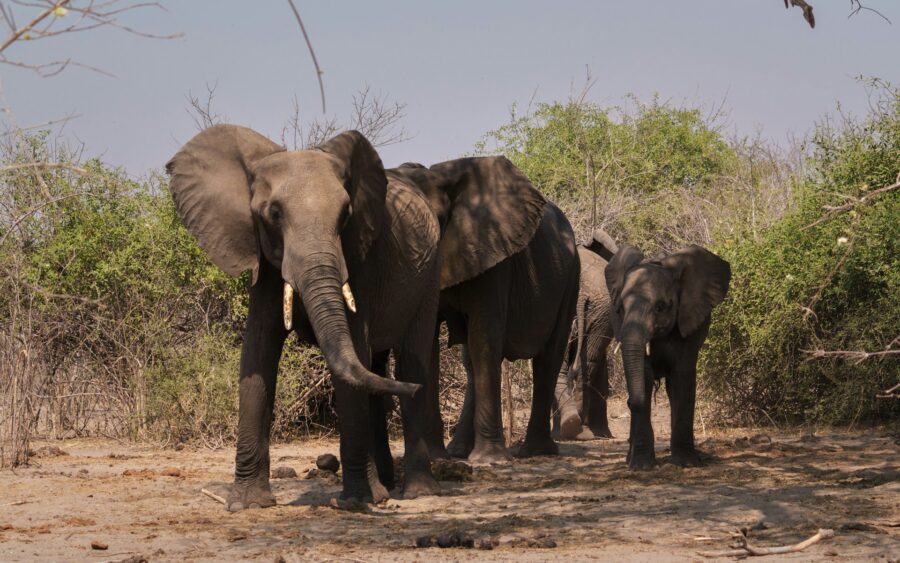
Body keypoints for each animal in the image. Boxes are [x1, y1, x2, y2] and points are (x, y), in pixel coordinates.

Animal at [166, 125, 443, 507]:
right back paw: (387, 487)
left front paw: (357, 503)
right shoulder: (264, 262)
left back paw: (416, 491)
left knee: (409, 361)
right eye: (273, 214)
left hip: (429, 273)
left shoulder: (360, 260)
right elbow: (257, 353)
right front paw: (248, 503)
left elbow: (353, 352)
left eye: (345, 215)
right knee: (376, 367)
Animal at [390, 160, 581, 463]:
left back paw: (534, 451)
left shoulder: (493, 259)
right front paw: (435, 458)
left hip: (571, 277)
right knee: (472, 362)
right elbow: (430, 343)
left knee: (548, 357)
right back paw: (458, 452)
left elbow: (484, 339)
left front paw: (489, 460)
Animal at [553, 229, 619, 441]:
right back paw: (575, 428)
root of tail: (581, 290)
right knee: (588, 362)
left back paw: (570, 429)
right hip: (600, 308)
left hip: (597, 309)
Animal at [605, 243, 730, 469]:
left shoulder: (689, 321)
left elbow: (682, 377)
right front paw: (642, 466)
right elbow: (644, 377)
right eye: (621, 308)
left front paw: (686, 463)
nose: (628, 403)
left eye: (661, 307)